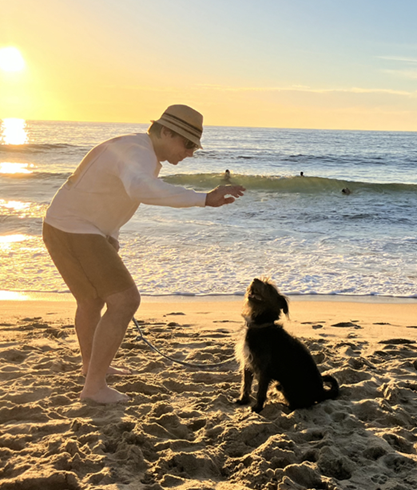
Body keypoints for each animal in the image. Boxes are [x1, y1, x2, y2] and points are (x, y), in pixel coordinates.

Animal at [234, 278, 338, 412]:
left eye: (269, 287)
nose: (255, 279)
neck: (260, 325)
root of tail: (321, 392)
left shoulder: (264, 369)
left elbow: (260, 391)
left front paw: (257, 407)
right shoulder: (248, 361)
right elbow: (245, 384)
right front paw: (243, 400)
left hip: (283, 385)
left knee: (298, 405)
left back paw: (283, 405)